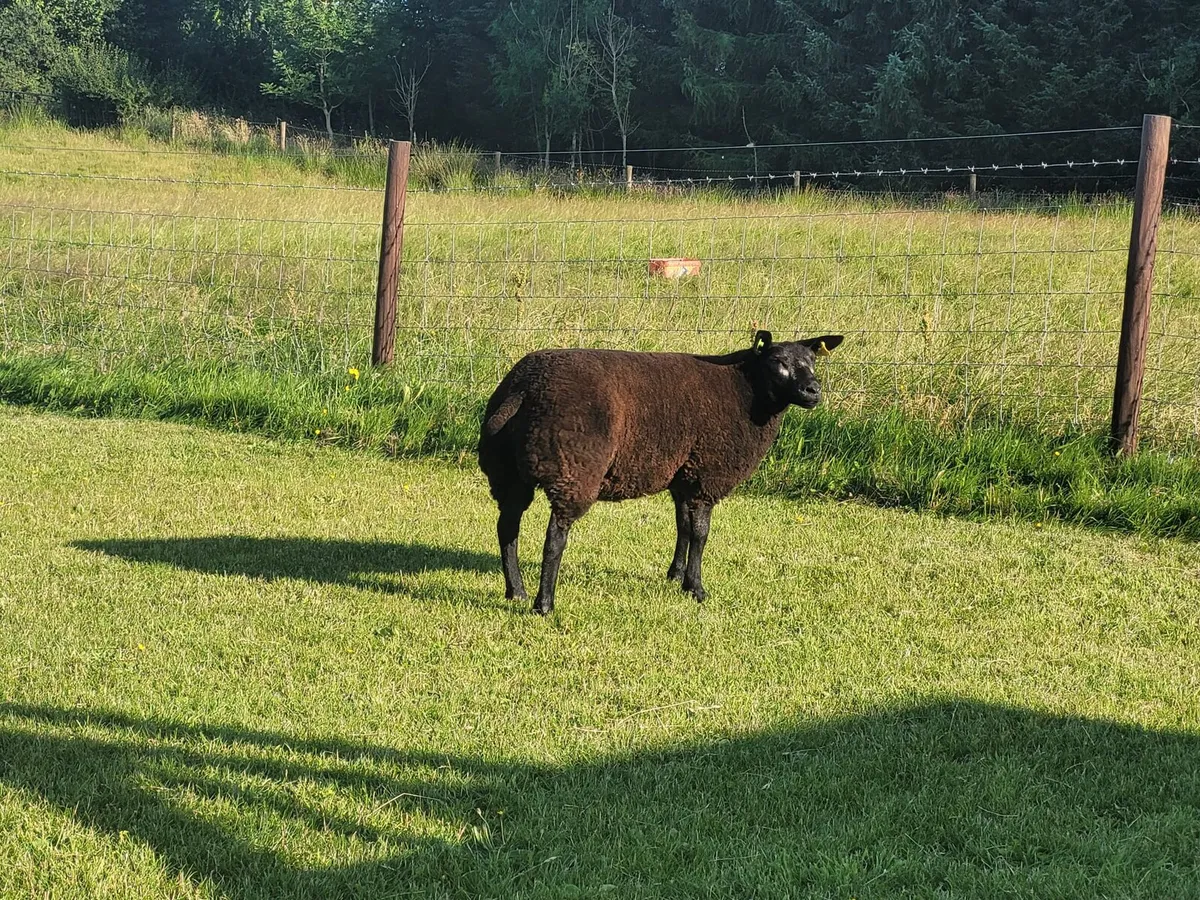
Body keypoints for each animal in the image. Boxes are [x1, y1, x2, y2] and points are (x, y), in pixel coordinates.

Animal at [477, 330, 844, 614]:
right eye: (778, 362)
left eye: (812, 362)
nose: (813, 391)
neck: (747, 390)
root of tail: (523, 389)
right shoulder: (707, 473)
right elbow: (701, 533)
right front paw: (696, 588)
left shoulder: (684, 474)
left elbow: (683, 526)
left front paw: (676, 576)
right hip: (574, 468)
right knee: (554, 539)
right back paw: (544, 604)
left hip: (508, 471)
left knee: (507, 527)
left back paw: (516, 591)